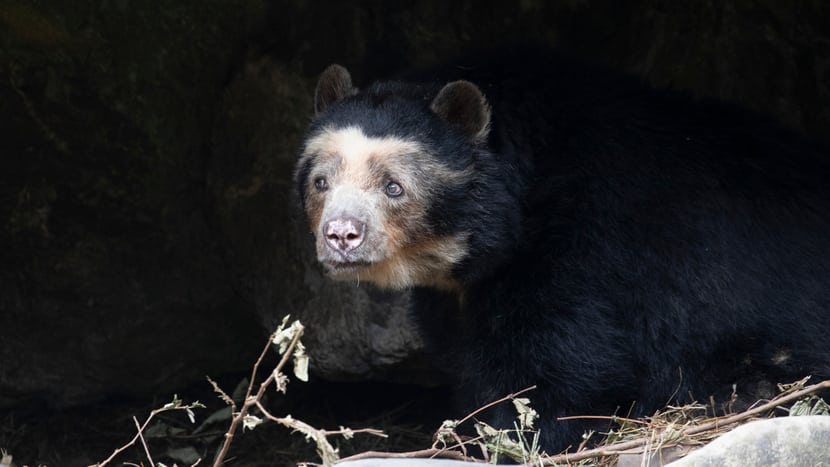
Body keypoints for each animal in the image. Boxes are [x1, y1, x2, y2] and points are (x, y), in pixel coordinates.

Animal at [294, 50, 830, 454]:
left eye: (394, 187)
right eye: (321, 181)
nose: (342, 234)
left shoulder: (586, 248)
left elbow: (562, 365)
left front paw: (520, 438)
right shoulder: (456, 295)